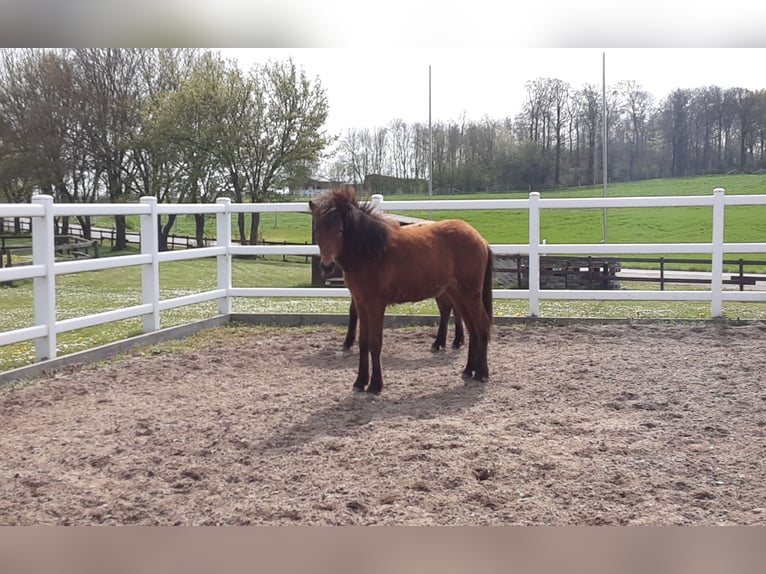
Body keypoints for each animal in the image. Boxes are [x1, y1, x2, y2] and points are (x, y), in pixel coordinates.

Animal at [310, 187, 496, 394]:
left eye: (340, 230)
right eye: (317, 230)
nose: (327, 266)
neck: (371, 251)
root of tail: (480, 239)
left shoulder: (376, 305)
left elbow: (375, 343)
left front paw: (375, 385)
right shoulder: (361, 303)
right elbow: (363, 342)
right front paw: (360, 382)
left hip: (470, 294)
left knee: (481, 325)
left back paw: (482, 374)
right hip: (458, 295)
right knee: (472, 328)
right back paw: (469, 370)